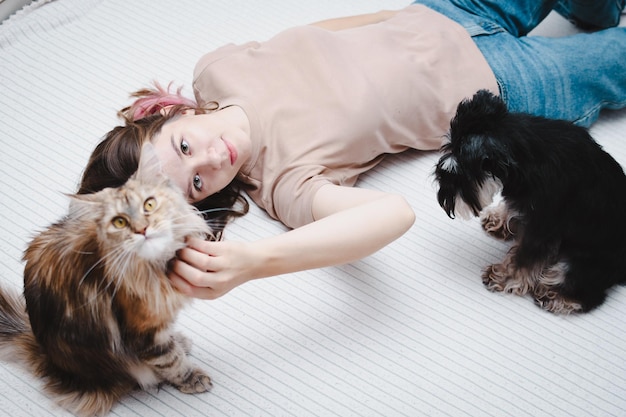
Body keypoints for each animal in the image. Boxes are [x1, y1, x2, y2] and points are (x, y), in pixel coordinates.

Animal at [0, 144, 214, 416]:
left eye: (149, 204)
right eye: (119, 222)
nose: (143, 230)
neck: (155, 265)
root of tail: (49, 358)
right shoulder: (142, 332)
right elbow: (171, 361)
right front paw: (192, 378)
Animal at [434, 90, 624, 312]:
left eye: (458, 174)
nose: (444, 202)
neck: (524, 161)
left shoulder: (543, 227)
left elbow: (524, 259)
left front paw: (503, 277)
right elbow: (512, 208)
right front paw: (497, 219)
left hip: (584, 262)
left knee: (587, 292)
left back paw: (554, 295)